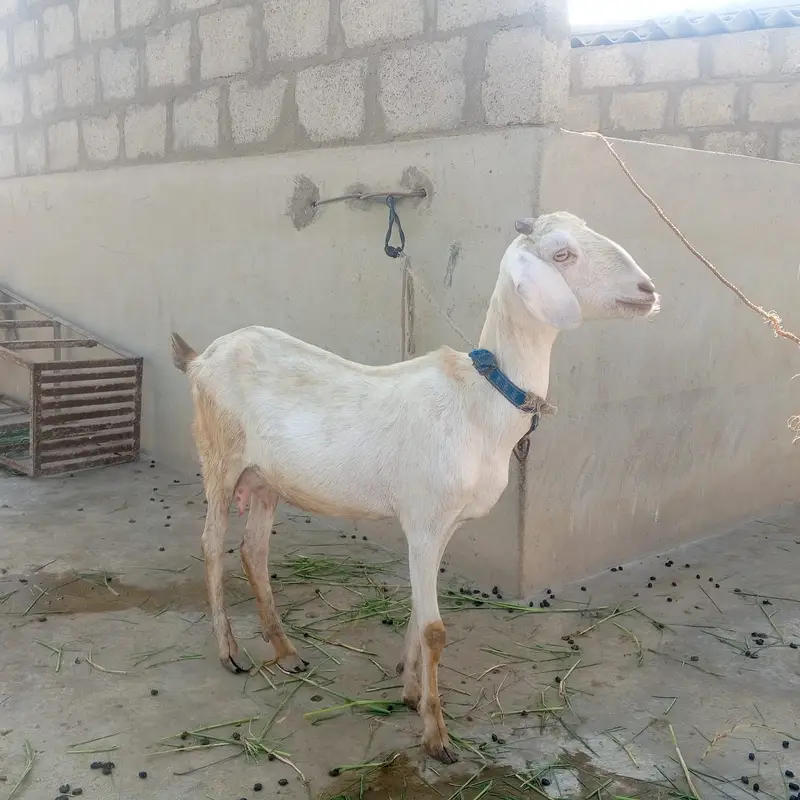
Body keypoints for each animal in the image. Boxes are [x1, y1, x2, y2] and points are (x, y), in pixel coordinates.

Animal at [171, 211, 659, 763]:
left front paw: (409, 693)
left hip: (266, 479)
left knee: (253, 550)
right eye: (562, 254)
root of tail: (201, 359)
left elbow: (416, 616)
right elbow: (435, 629)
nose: (648, 291)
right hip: (219, 457)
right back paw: (230, 652)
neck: (479, 401)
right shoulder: (424, 521)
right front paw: (437, 736)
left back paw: (288, 652)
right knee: (212, 544)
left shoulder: (442, 526)